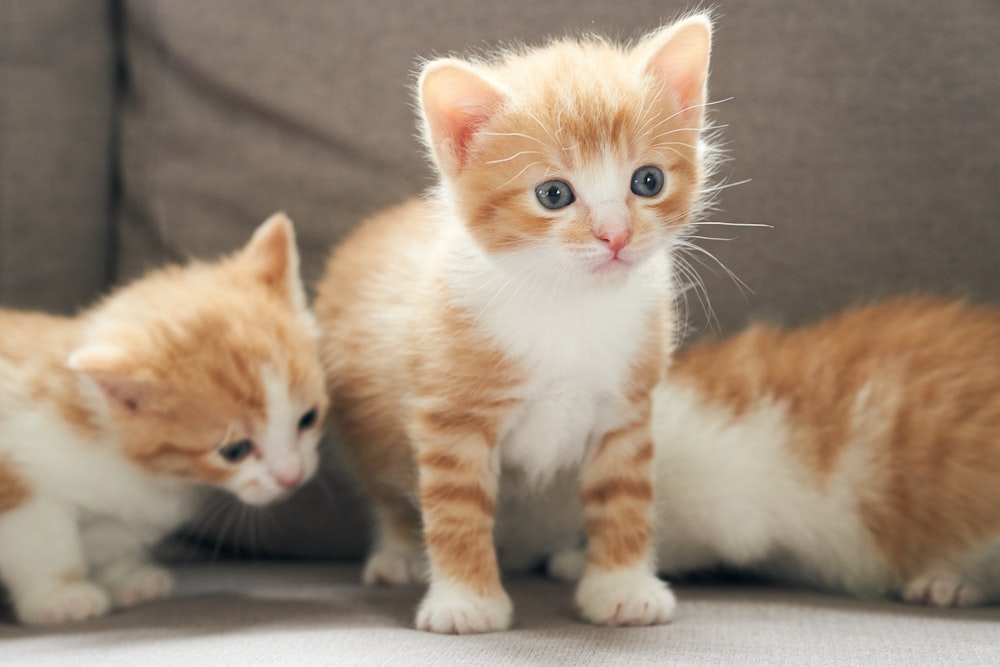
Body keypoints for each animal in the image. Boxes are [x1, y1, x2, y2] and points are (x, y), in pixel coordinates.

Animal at [0, 215, 328, 628]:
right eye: (234, 450)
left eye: (308, 417)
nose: (292, 477)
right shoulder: (14, 474)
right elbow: (40, 540)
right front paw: (60, 596)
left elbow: (111, 537)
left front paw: (127, 577)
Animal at [316, 13, 716, 636]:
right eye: (554, 194)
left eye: (647, 181)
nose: (616, 235)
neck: (567, 301)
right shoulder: (450, 415)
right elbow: (455, 509)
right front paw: (465, 601)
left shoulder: (625, 409)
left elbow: (625, 496)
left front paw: (622, 586)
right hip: (370, 435)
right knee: (389, 492)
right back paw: (400, 554)